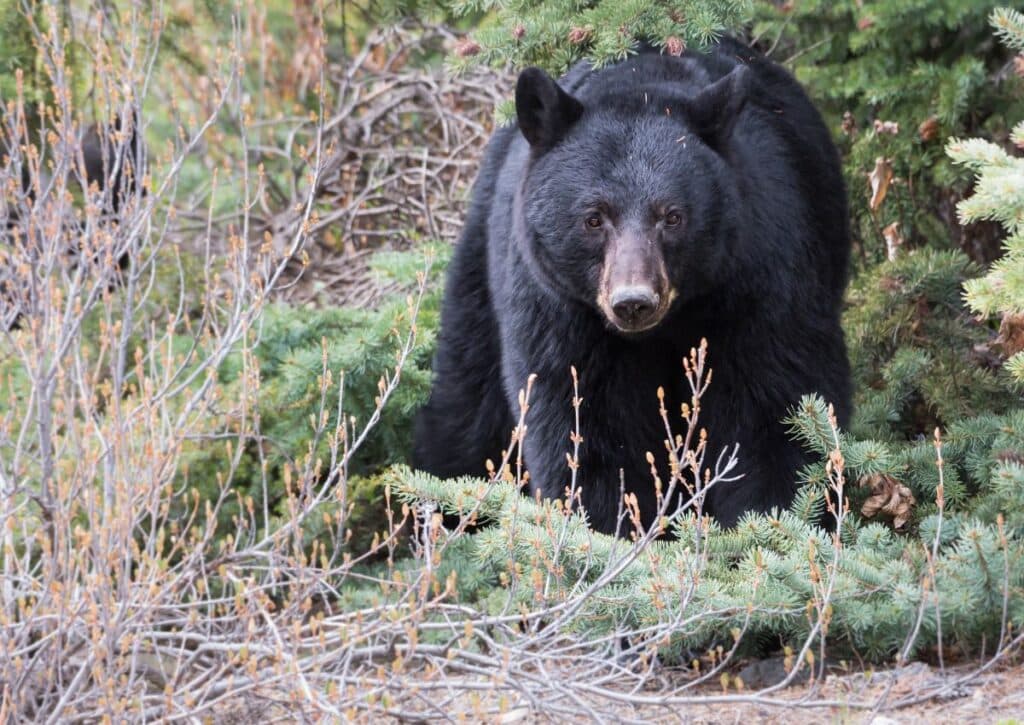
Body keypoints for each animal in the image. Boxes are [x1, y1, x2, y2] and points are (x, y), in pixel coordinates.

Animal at [411, 39, 851, 536]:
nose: (633, 301)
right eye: (594, 218)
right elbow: (590, 432)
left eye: (672, 216)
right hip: (484, 256)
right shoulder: (561, 312)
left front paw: (768, 527)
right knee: (466, 403)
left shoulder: (762, 278)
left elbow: (775, 411)